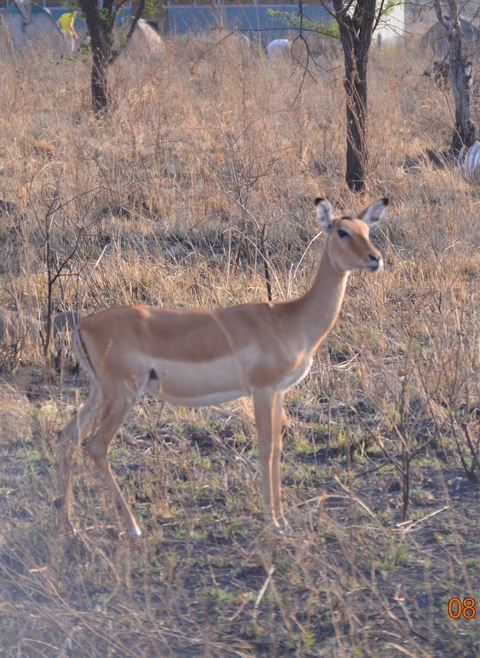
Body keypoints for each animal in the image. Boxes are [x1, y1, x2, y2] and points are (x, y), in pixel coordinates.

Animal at [57, 198, 388, 537]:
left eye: (367, 229)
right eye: (342, 231)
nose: (375, 258)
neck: (291, 319)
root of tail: (83, 325)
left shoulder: (279, 392)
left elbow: (278, 446)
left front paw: (282, 520)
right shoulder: (262, 390)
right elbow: (267, 447)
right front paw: (273, 521)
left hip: (100, 393)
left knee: (68, 436)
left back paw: (70, 525)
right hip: (123, 393)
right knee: (96, 445)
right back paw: (132, 527)